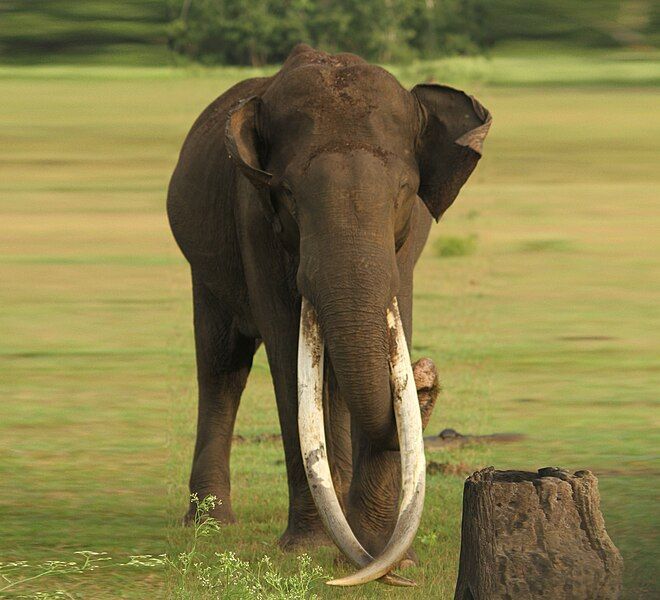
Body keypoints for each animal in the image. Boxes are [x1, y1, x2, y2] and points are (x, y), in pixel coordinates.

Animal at [168, 43, 490, 584]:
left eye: (405, 192)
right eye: (289, 195)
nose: (428, 376)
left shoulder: (407, 243)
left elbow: (393, 327)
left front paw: (385, 556)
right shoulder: (254, 219)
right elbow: (286, 357)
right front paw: (307, 550)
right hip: (206, 271)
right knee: (221, 367)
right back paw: (210, 526)